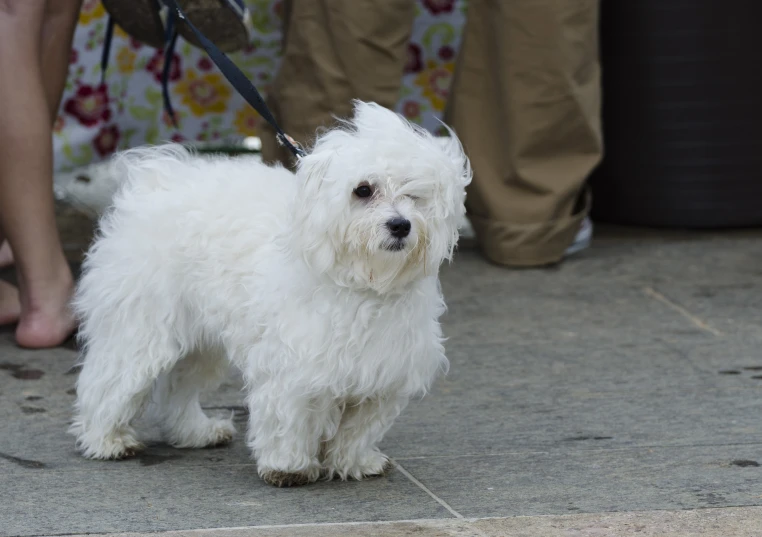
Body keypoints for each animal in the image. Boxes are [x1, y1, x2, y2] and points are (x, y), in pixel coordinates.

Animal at [70, 100, 470, 486]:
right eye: (363, 190)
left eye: (414, 194)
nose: (400, 225)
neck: (362, 285)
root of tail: (154, 179)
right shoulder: (293, 369)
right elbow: (288, 422)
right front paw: (290, 467)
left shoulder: (383, 374)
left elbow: (359, 430)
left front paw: (355, 462)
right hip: (140, 329)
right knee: (110, 381)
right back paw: (107, 439)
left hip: (201, 343)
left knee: (176, 390)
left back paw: (197, 432)